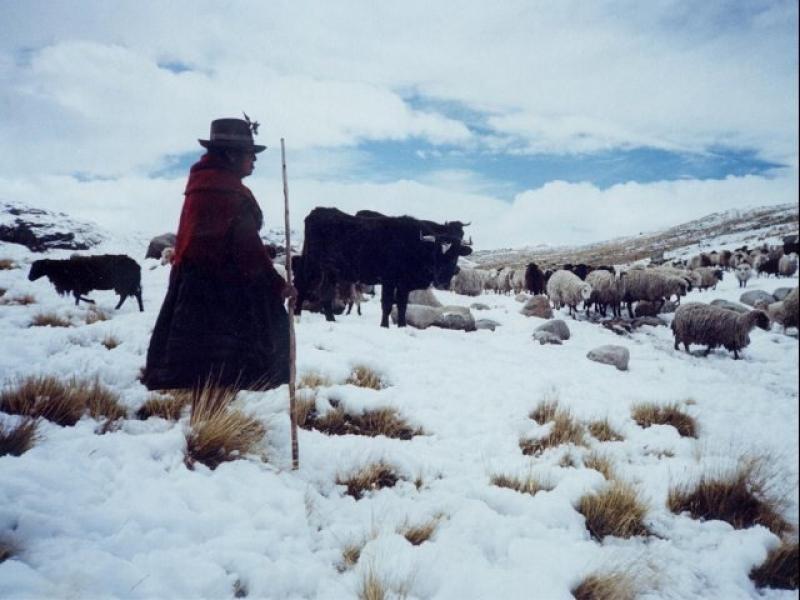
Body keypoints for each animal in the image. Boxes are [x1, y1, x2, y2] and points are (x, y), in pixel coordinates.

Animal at [300, 207, 476, 328]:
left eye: (455, 254)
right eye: (435, 252)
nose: (441, 281)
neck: (413, 246)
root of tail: (317, 212)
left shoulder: (404, 284)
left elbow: (402, 305)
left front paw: (402, 326)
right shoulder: (389, 280)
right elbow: (387, 304)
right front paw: (384, 326)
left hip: (330, 272)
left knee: (325, 292)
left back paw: (331, 319)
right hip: (311, 265)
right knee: (303, 286)